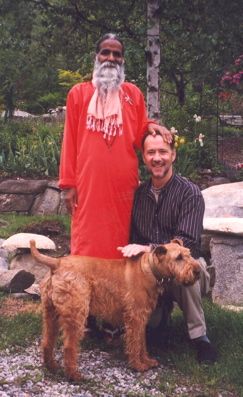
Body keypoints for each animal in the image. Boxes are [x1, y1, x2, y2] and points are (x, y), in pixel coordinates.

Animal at [29, 238, 200, 380]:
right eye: (179, 257)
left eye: (189, 253)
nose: (198, 271)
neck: (150, 269)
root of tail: (57, 263)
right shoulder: (135, 317)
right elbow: (135, 343)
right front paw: (138, 365)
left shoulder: (142, 318)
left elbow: (142, 342)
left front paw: (147, 361)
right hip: (76, 314)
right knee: (69, 346)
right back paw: (74, 375)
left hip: (50, 313)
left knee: (47, 341)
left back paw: (52, 367)